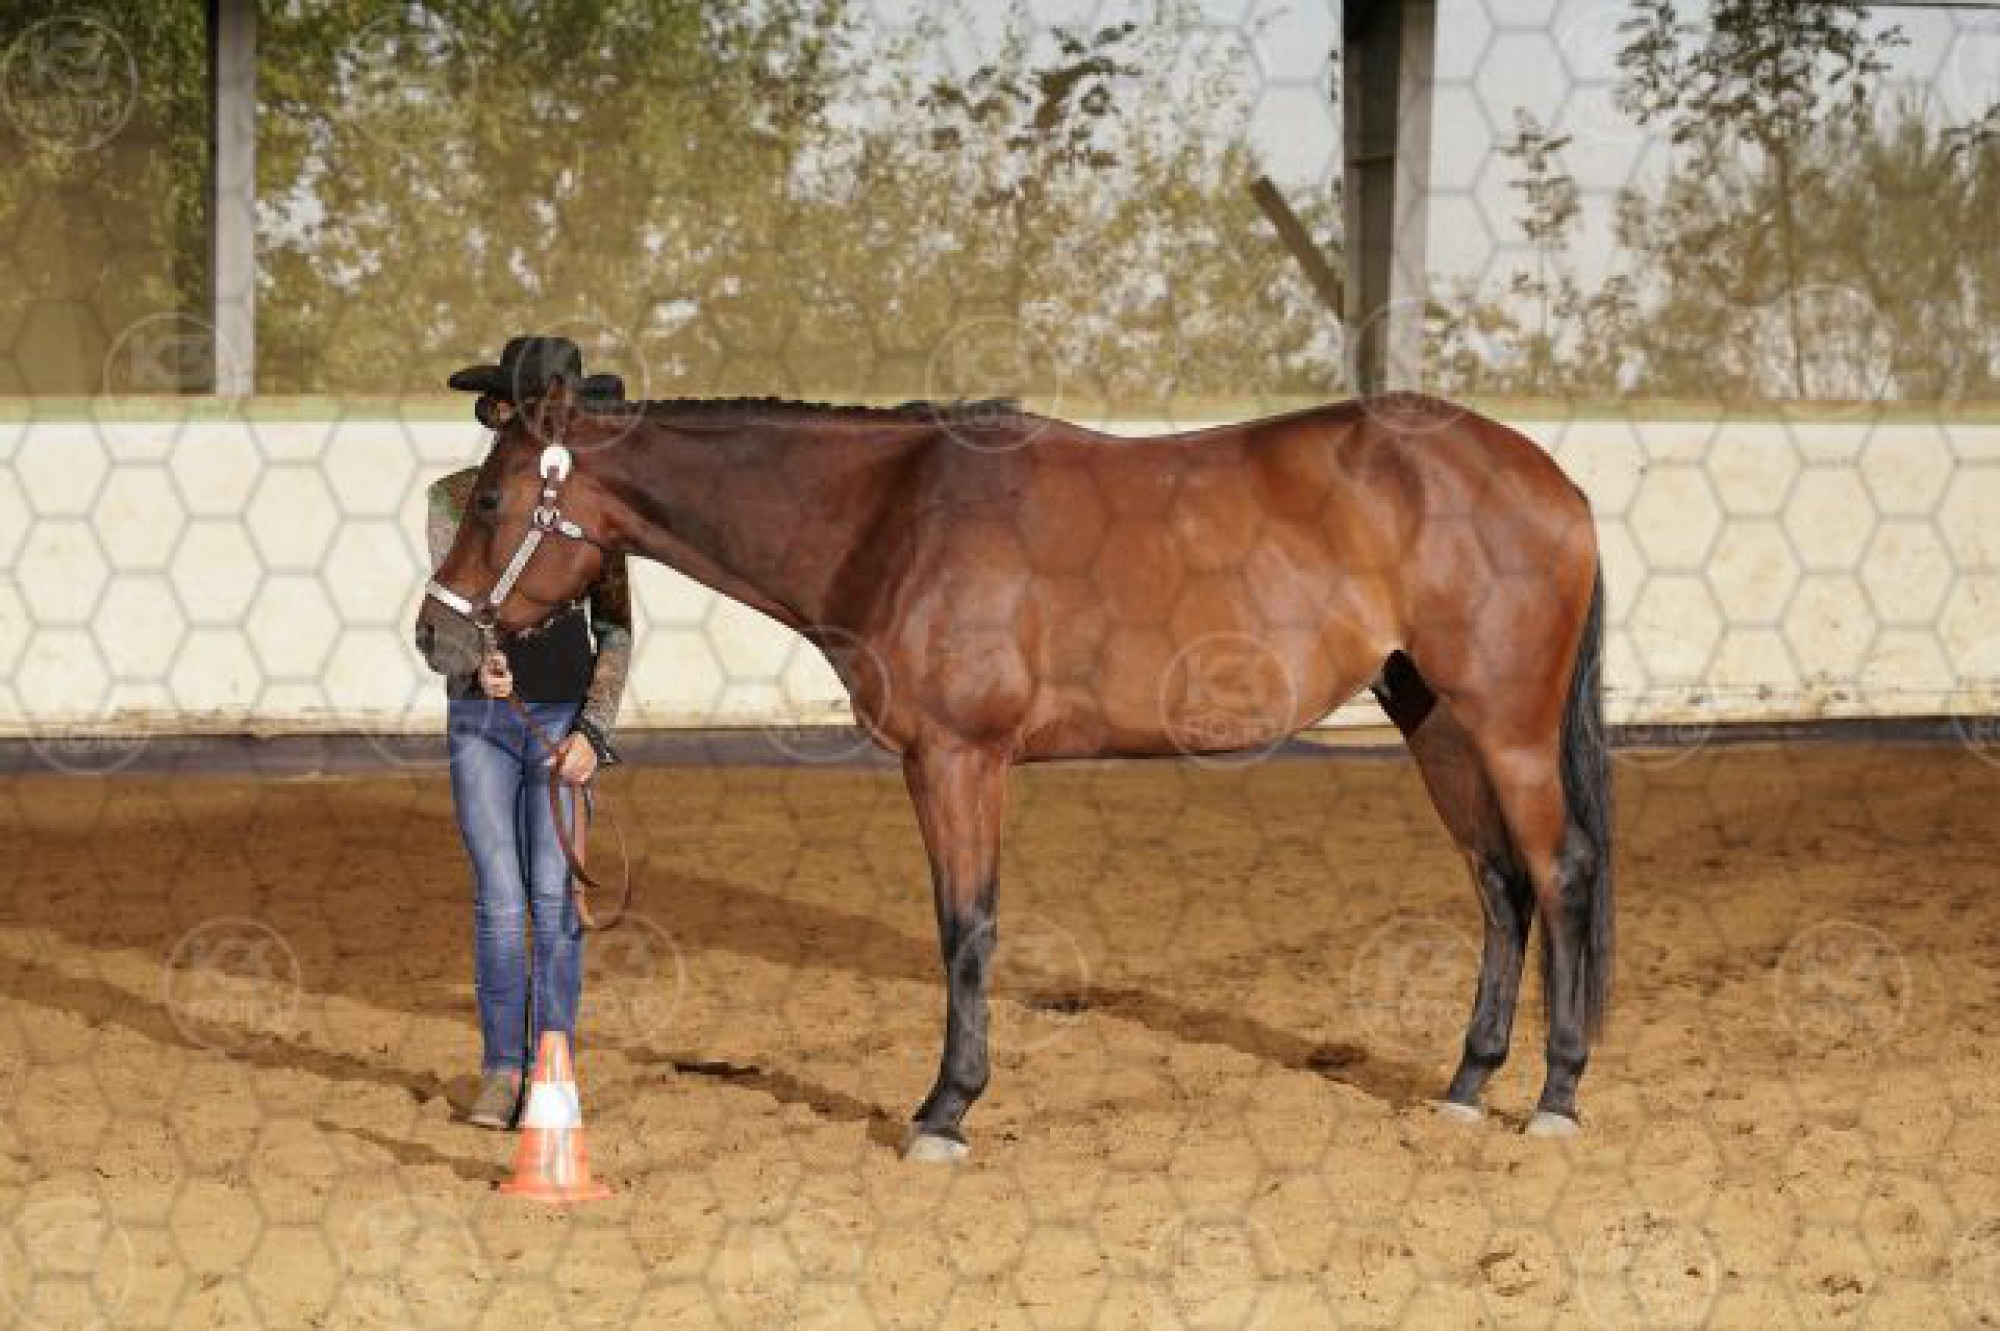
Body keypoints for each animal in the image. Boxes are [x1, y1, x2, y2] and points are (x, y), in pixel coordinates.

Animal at [414, 381, 1612, 1160]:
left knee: (1558, 874)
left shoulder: (957, 758)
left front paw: (944, 1109)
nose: (439, 636)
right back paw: (1467, 1084)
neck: (891, 514)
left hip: (1504, 726)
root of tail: (1553, 480)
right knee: (1499, 887)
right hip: (1430, 717)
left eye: (490, 501)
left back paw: (1556, 1095)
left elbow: (966, 927)